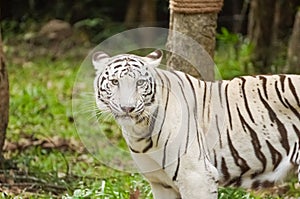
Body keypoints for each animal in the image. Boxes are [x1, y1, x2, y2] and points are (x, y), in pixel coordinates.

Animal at [92, 49, 300, 198]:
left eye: (140, 82)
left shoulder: (196, 177)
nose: (128, 108)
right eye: (114, 82)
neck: (138, 131)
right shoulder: (161, 183)